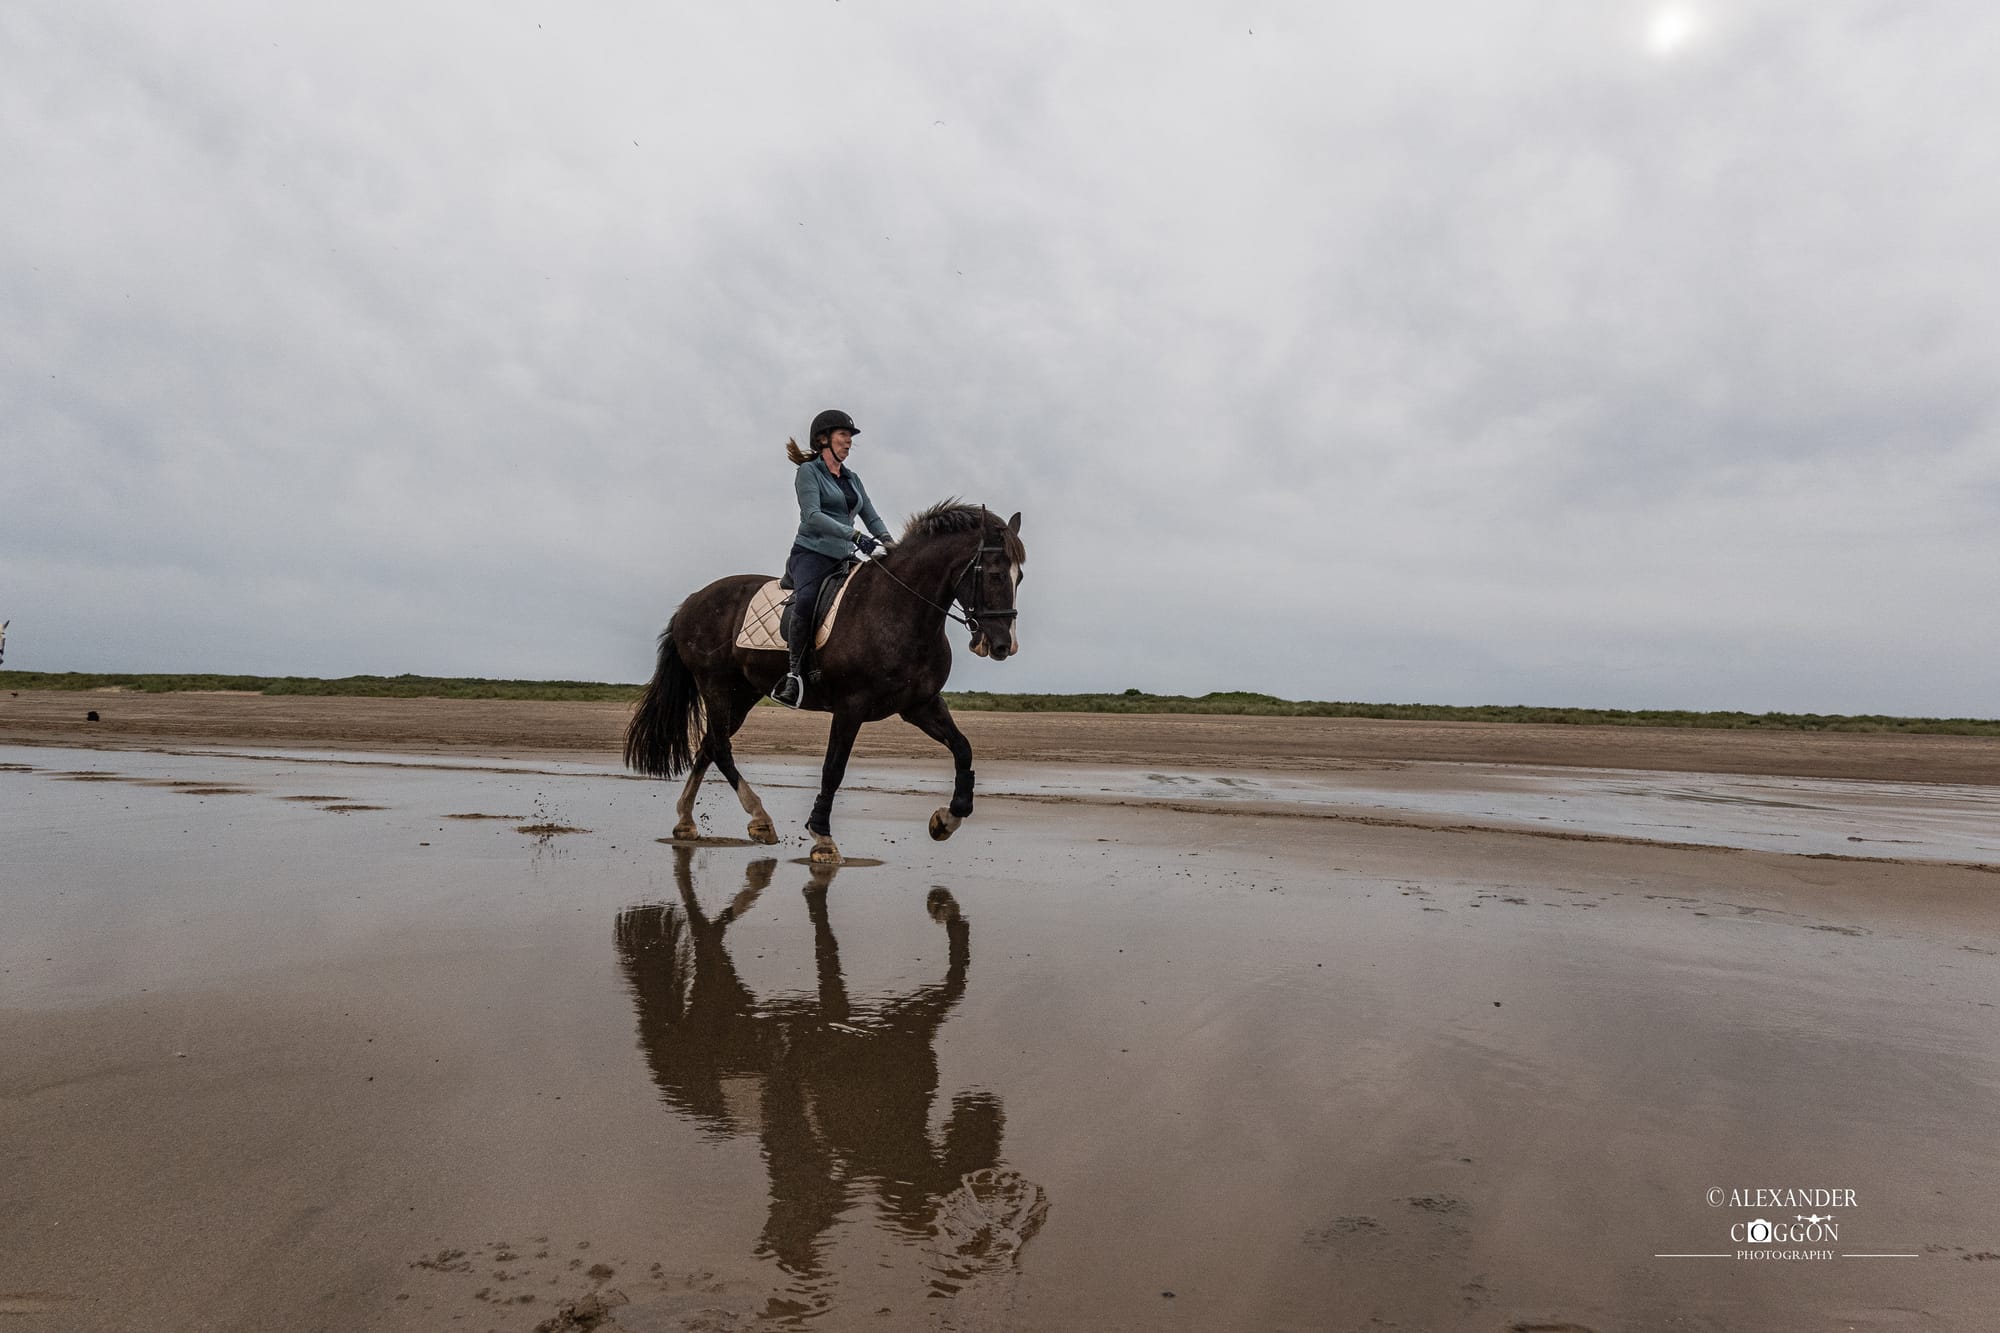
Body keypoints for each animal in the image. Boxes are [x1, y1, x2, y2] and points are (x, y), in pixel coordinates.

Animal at [624, 501, 1025, 862]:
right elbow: (833, 770)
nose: (1003, 645)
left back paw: (686, 821)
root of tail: (692, 602)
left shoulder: (920, 705)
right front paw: (823, 839)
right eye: (995, 575)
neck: (900, 609)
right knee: (720, 748)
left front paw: (947, 818)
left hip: (742, 694)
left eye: (1019, 577)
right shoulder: (850, 707)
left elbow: (963, 748)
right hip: (718, 687)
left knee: (709, 745)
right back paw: (760, 820)